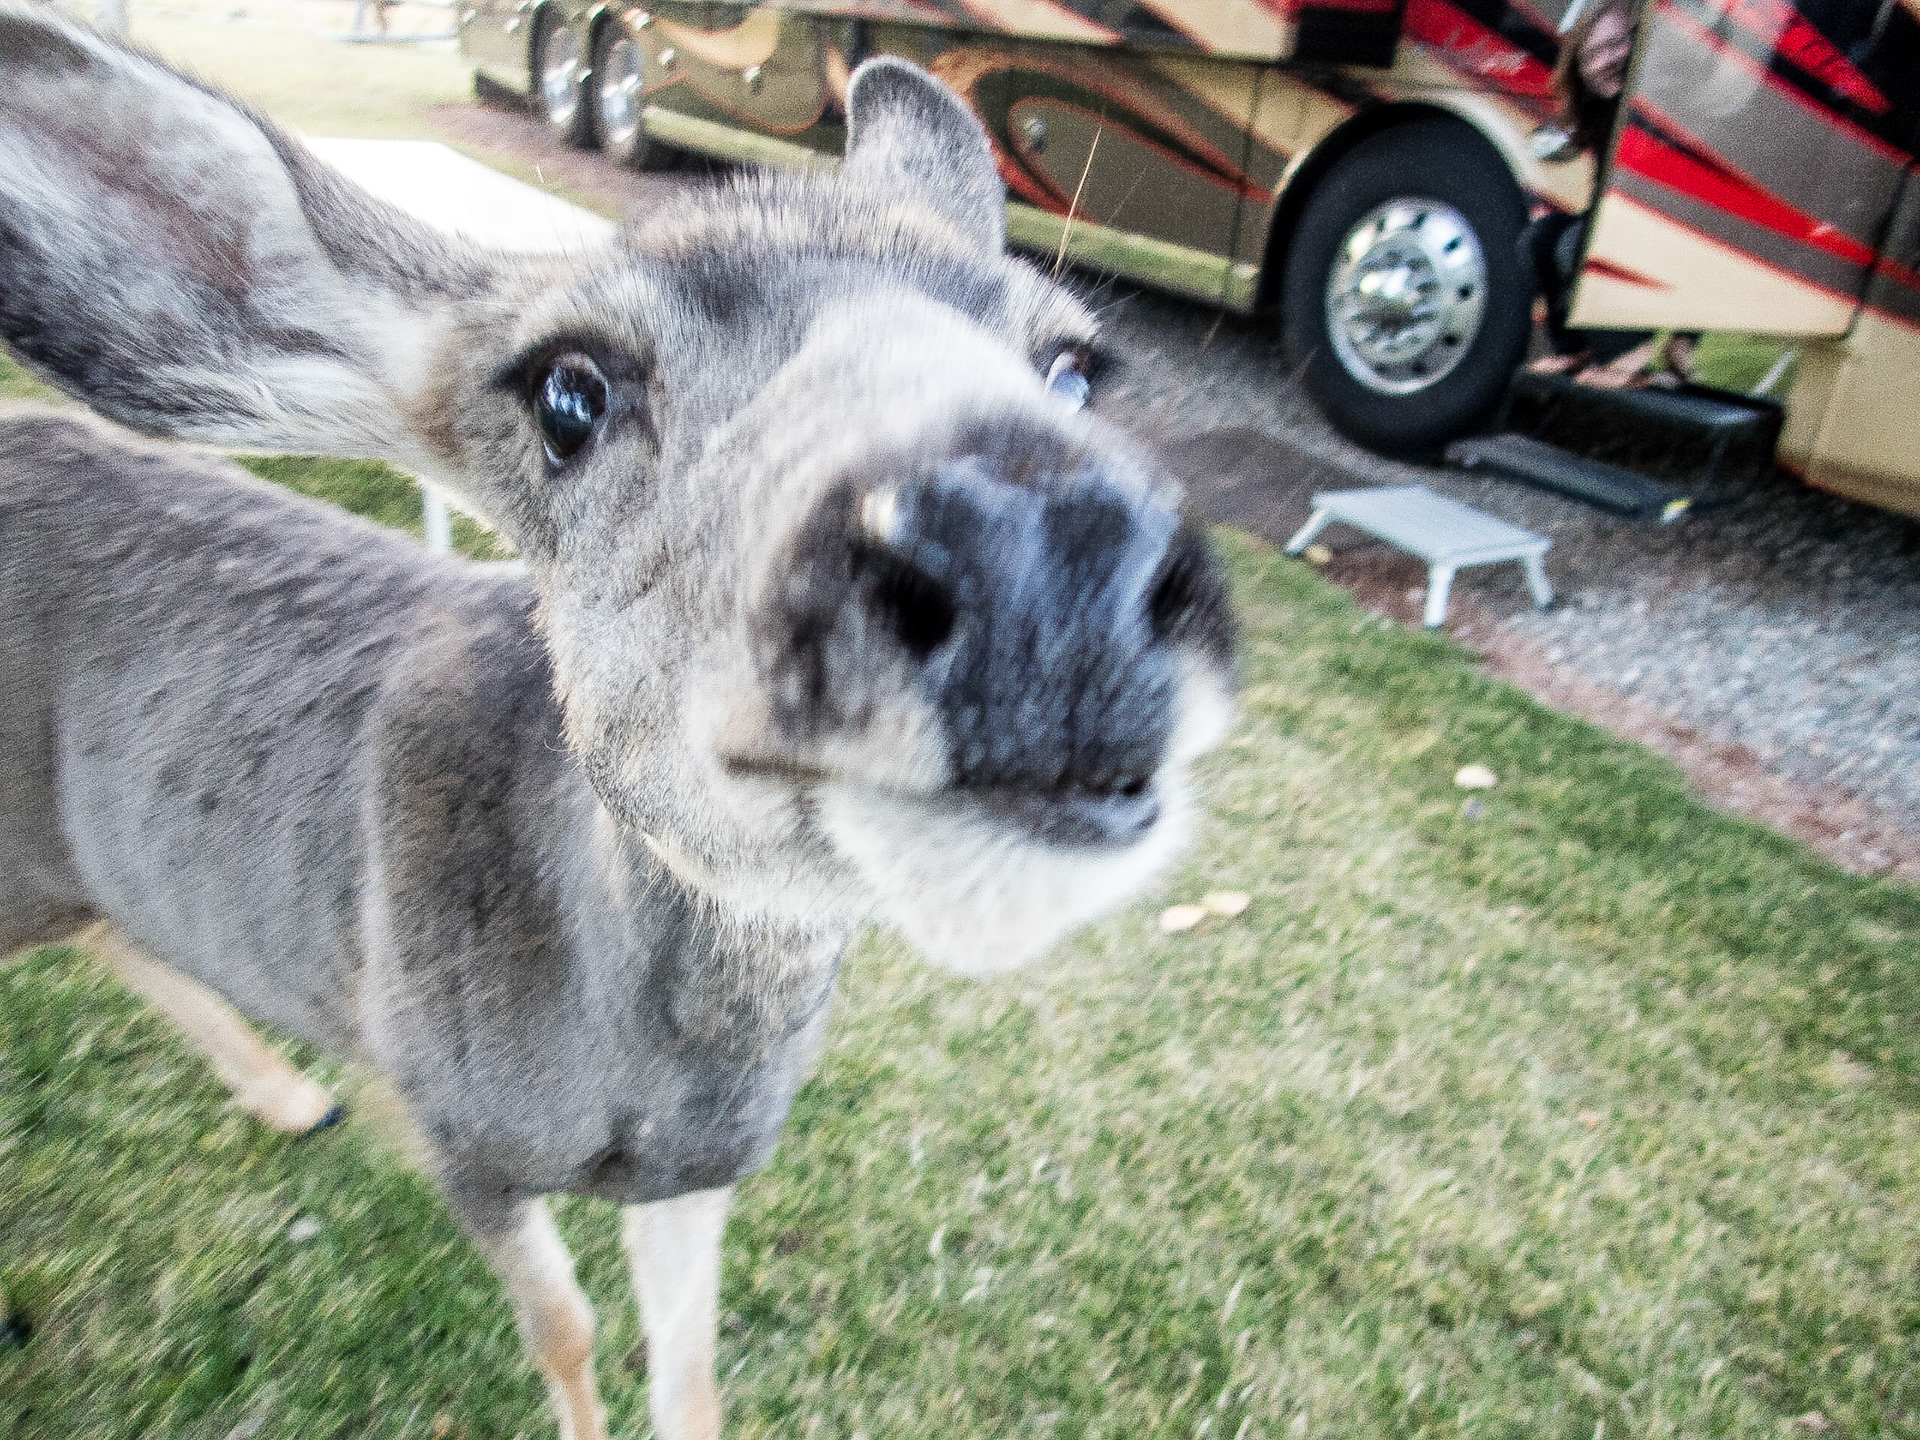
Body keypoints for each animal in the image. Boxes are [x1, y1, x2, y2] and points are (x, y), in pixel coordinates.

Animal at [0, 6, 1235, 1436]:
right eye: (567, 394)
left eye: (1077, 368)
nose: (1045, 549)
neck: (630, 1074)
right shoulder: (455, 1128)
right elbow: (567, 1330)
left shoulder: (700, 1171)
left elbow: (688, 1362)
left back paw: (290, 1095)